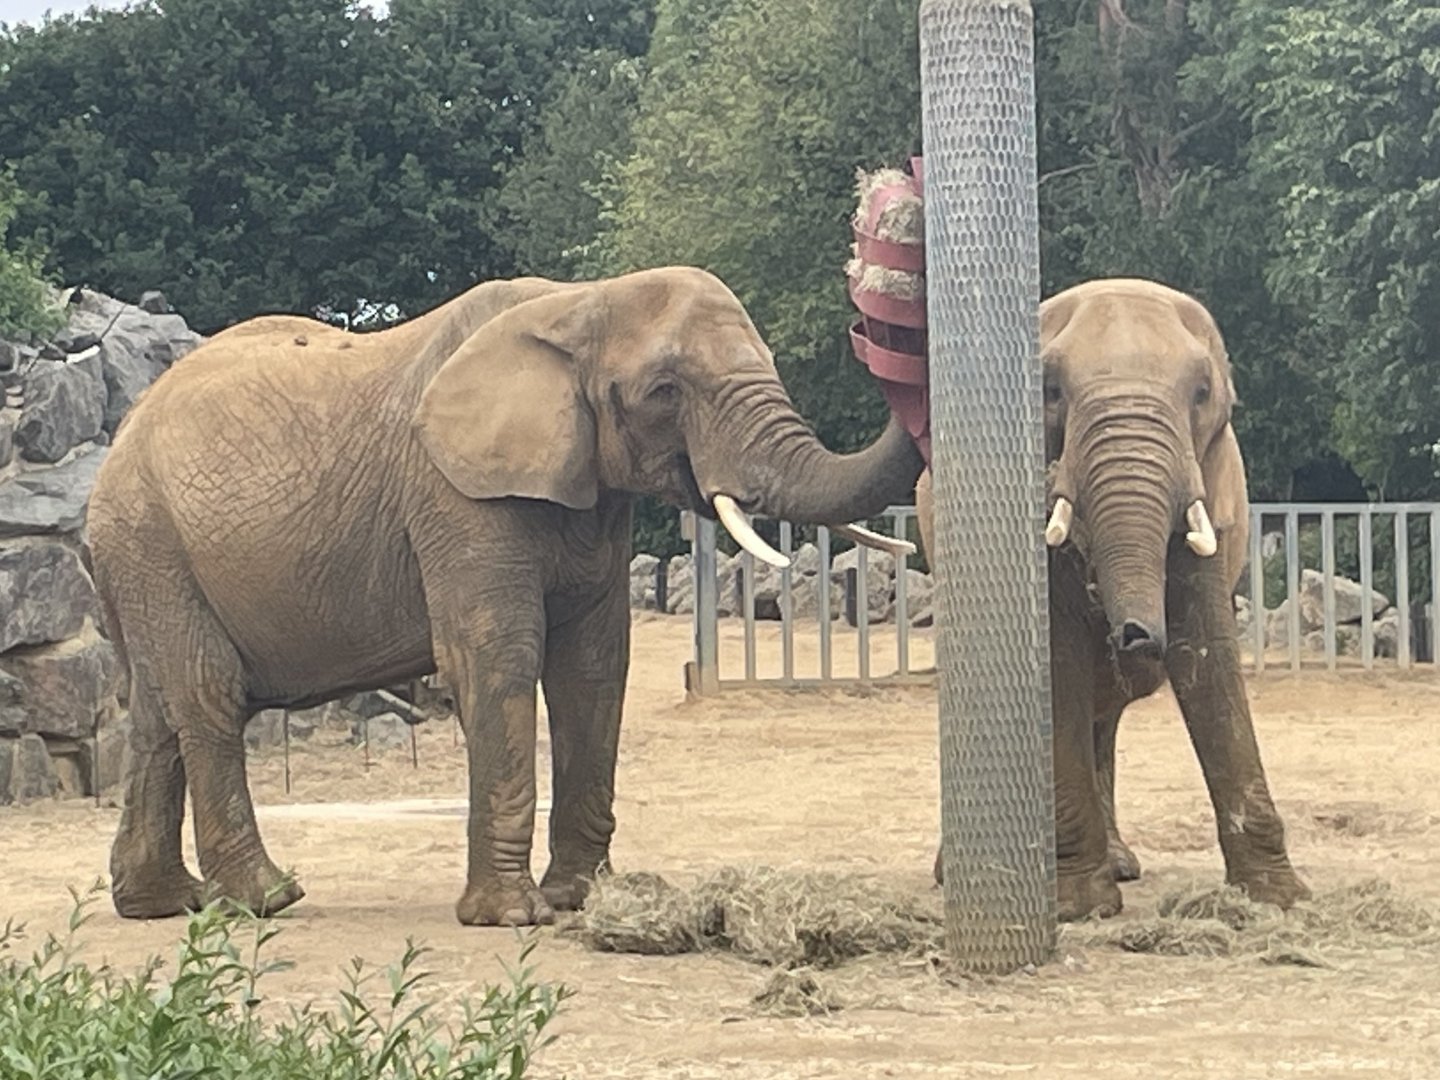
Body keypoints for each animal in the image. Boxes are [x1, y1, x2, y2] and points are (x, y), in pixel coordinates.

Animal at [86, 266, 923, 927]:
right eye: (663, 392)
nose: (878, 317)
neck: (580, 302)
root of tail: (118, 442)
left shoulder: (591, 493)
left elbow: (593, 666)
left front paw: (580, 901)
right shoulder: (454, 493)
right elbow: (496, 659)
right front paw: (512, 917)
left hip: (144, 556)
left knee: (157, 710)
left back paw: (163, 904)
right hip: (151, 540)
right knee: (206, 696)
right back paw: (269, 899)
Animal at [915, 277, 1309, 921]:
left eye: (1202, 394)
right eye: (1050, 391)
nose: (1135, 635)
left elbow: (1209, 656)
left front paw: (1278, 900)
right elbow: (1059, 657)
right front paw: (1080, 905)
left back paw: (1120, 862)